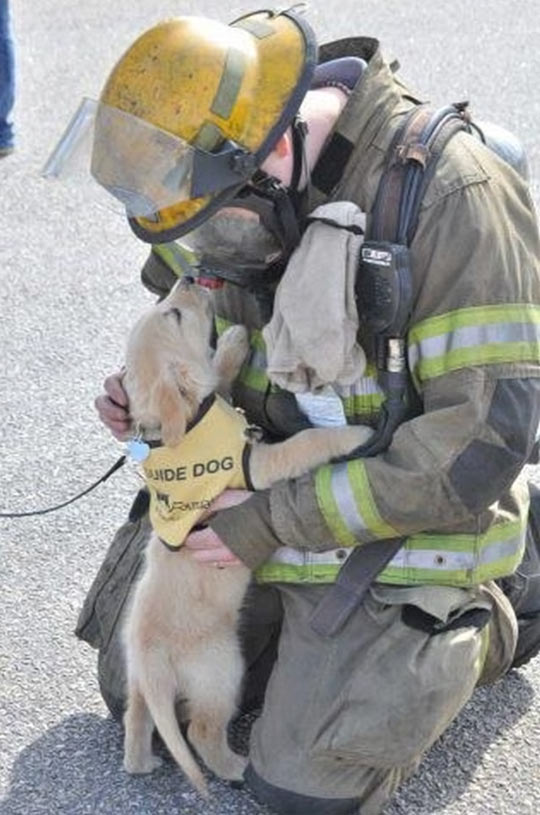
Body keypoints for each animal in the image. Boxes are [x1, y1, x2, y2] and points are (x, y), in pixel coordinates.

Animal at [121, 278, 372, 796]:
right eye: (175, 315)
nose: (190, 277)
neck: (185, 425)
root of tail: (151, 656)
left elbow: (216, 378)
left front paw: (234, 342)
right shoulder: (259, 463)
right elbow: (305, 443)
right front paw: (355, 434)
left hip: (137, 681)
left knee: (137, 718)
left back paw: (141, 763)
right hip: (223, 669)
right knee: (200, 730)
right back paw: (235, 768)